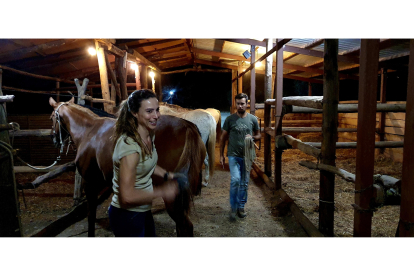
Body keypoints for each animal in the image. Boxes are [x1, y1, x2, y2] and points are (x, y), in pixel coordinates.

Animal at [48, 97, 205, 237]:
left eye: (51, 117)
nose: (53, 139)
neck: (89, 130)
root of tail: (187, 126)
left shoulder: (90, 183)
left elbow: (91, 217)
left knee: (185, 226)